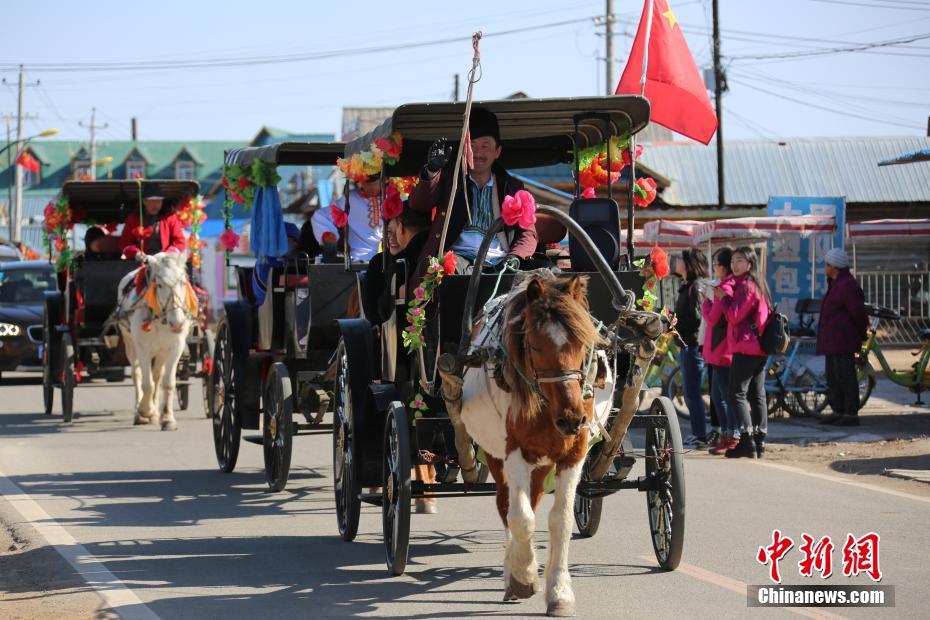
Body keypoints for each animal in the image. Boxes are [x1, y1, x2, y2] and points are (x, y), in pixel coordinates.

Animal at [118, 252, 194, 432]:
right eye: (159, 285)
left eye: (183, 282)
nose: (178, 323)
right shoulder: (142, 348)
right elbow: (147, 384)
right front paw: (145, 411)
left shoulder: (175, 348)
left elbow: (167, 383)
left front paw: (167, 418)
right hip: (130, 343)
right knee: (137, 375)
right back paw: (141, 410)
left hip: (160, 351)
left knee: (157, 376)